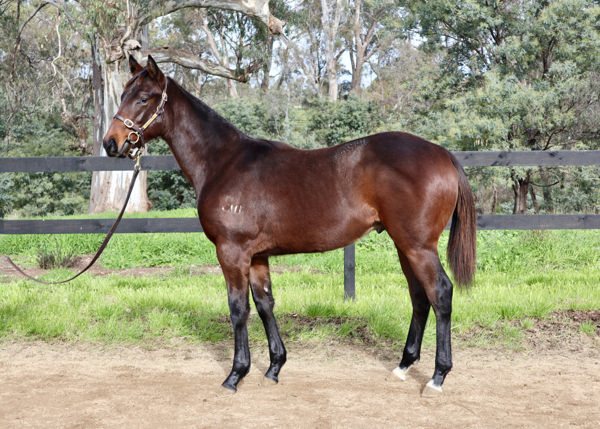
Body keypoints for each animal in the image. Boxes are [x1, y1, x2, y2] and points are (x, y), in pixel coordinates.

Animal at [103, 56, 478, 394]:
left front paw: (235, 375)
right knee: (419, 297)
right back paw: (403, 366)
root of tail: (442, 154)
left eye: (144, 97)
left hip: (418, 246)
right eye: (122, 93)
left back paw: (437, 377)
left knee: (440, 293)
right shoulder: (257, 256)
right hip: (405, 245)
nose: (111, 143)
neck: (222, 163)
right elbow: (264, 304)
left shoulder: (232, 252)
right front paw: (274, 368)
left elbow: (238, 309)